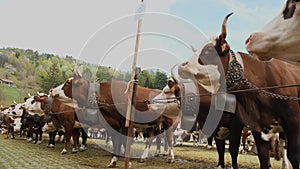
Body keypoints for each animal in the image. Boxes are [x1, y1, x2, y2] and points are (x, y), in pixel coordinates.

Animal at [178, 12, 300, 168]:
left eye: (208, 50)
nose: (182, 66)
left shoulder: (293, 122)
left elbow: (294, 156)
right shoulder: (256, 128)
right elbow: (262, 157)